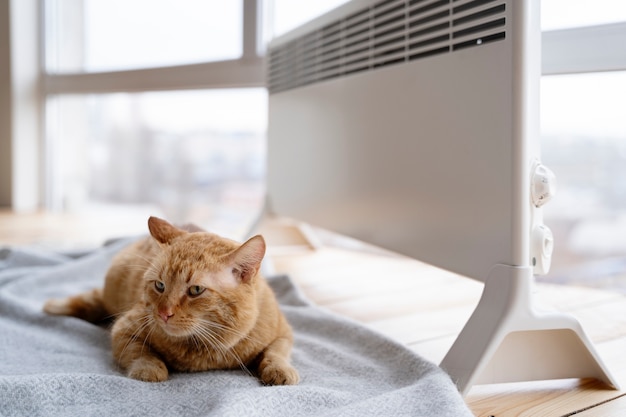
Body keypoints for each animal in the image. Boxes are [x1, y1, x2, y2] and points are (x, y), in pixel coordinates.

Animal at [43, 216, 298, 386]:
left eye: (196, 290)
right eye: (160, 285)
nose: (163, 313)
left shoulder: (283, 333)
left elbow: (276, 353)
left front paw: (280, 370)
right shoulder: (125, 328)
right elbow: (139, 352)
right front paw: (149, 368)